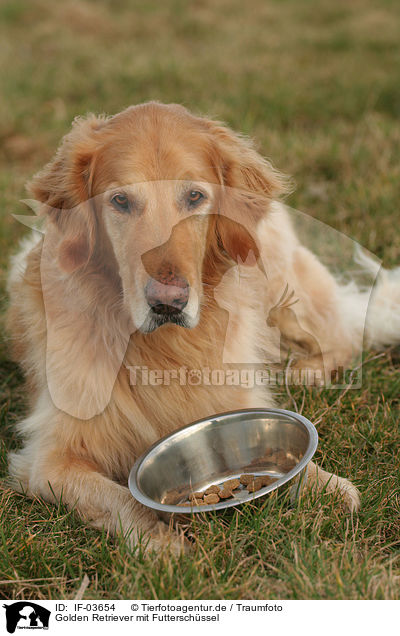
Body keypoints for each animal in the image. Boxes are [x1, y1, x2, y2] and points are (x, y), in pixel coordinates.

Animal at [5, 103, 400, 552]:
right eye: (121, 200)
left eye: (194, 197)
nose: (167, 303)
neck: (163, 350)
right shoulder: (51, 459)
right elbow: (118, 498)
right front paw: (162, 542)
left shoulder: (229, 396)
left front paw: (328, 485)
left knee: (341, 334)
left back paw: (305, 372)